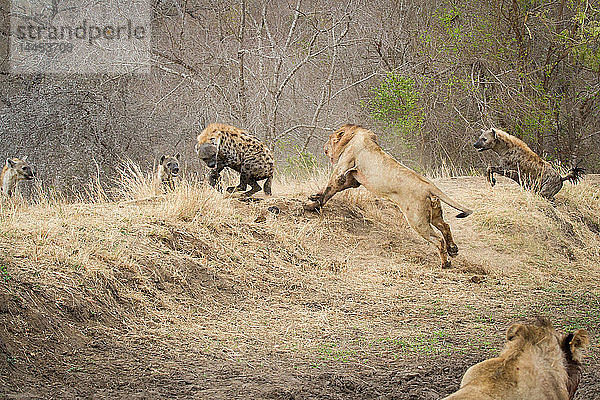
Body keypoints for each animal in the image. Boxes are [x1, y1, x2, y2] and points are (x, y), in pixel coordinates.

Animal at [304, 125, 474, 268]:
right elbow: (329, 191)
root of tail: (429, 185)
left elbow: (329, 188)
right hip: (433, 215)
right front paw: (314, 197)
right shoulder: (352, 180)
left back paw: (446, 263)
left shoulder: (342, 169)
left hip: (417, 220)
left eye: (329, 139)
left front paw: (312, 205)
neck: (354, 135)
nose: (324, 148)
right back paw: (453, 249)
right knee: (446, 226)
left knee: (438, 239)